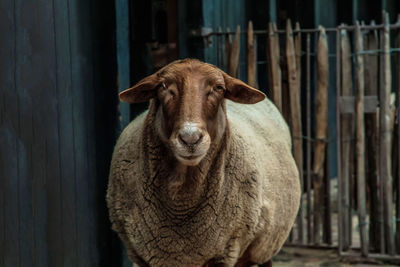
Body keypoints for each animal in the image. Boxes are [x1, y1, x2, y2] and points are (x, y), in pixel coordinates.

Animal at [106, 59, 300, 267]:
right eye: (163, 86)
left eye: (219, 88)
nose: (190, 138)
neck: (180, 203)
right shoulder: (139, 254)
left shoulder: (224, 252)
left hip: (264, 245)